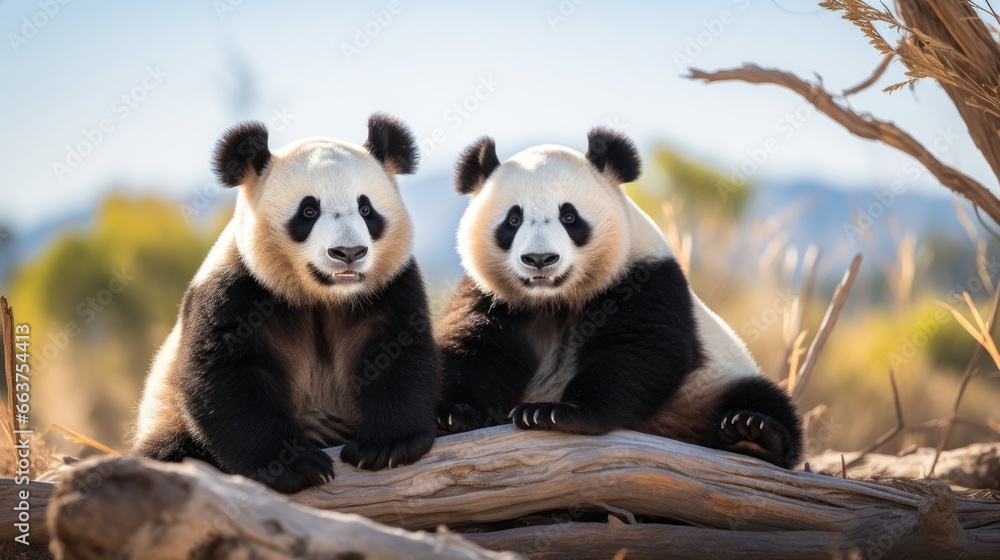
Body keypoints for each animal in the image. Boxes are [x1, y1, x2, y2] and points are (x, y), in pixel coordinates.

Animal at [132, 115, 438, 494]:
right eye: (308, 210)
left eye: (366, 209)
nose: (348, 252)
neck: (323, 297)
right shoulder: (236, 288)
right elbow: (228, 376)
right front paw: (294, 465)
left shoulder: (389, 285)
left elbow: (398, 351)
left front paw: (386, 446)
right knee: (169, 451)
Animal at [438, 128, 804, 468]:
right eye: (513, 220)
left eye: (569, 217)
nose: (540, 259)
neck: (554, 299)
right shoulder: (492, 296)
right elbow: (477, 349)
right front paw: (453, 414)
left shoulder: (645, 277)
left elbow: (638, 349)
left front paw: (556, 412)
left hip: (712, 383)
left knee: (763, 397)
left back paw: (753, 434)